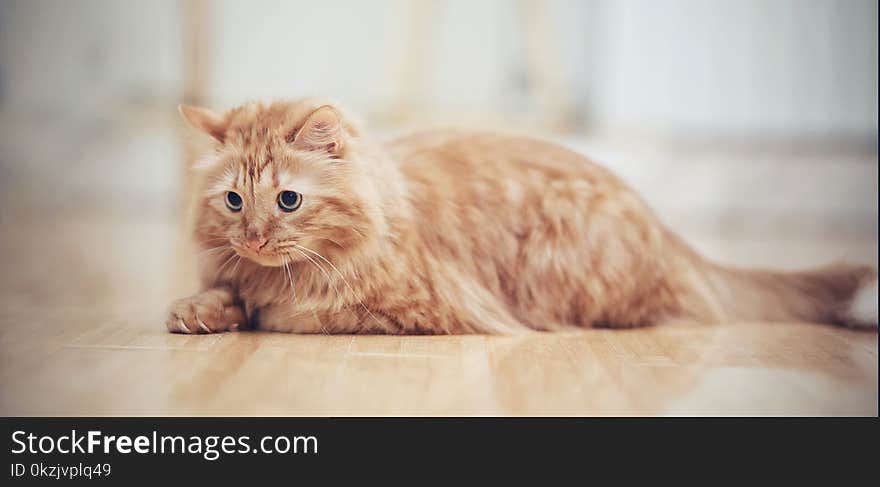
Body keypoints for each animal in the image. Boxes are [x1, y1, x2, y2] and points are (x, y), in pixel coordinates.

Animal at [167, 99, 880, 336]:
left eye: (288, 201)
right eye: (234, 202)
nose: (255, 239)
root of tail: (670, 232)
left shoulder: (424, 308)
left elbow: (290, 313)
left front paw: (254, 310)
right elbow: (223, 292)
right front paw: (200, 311)